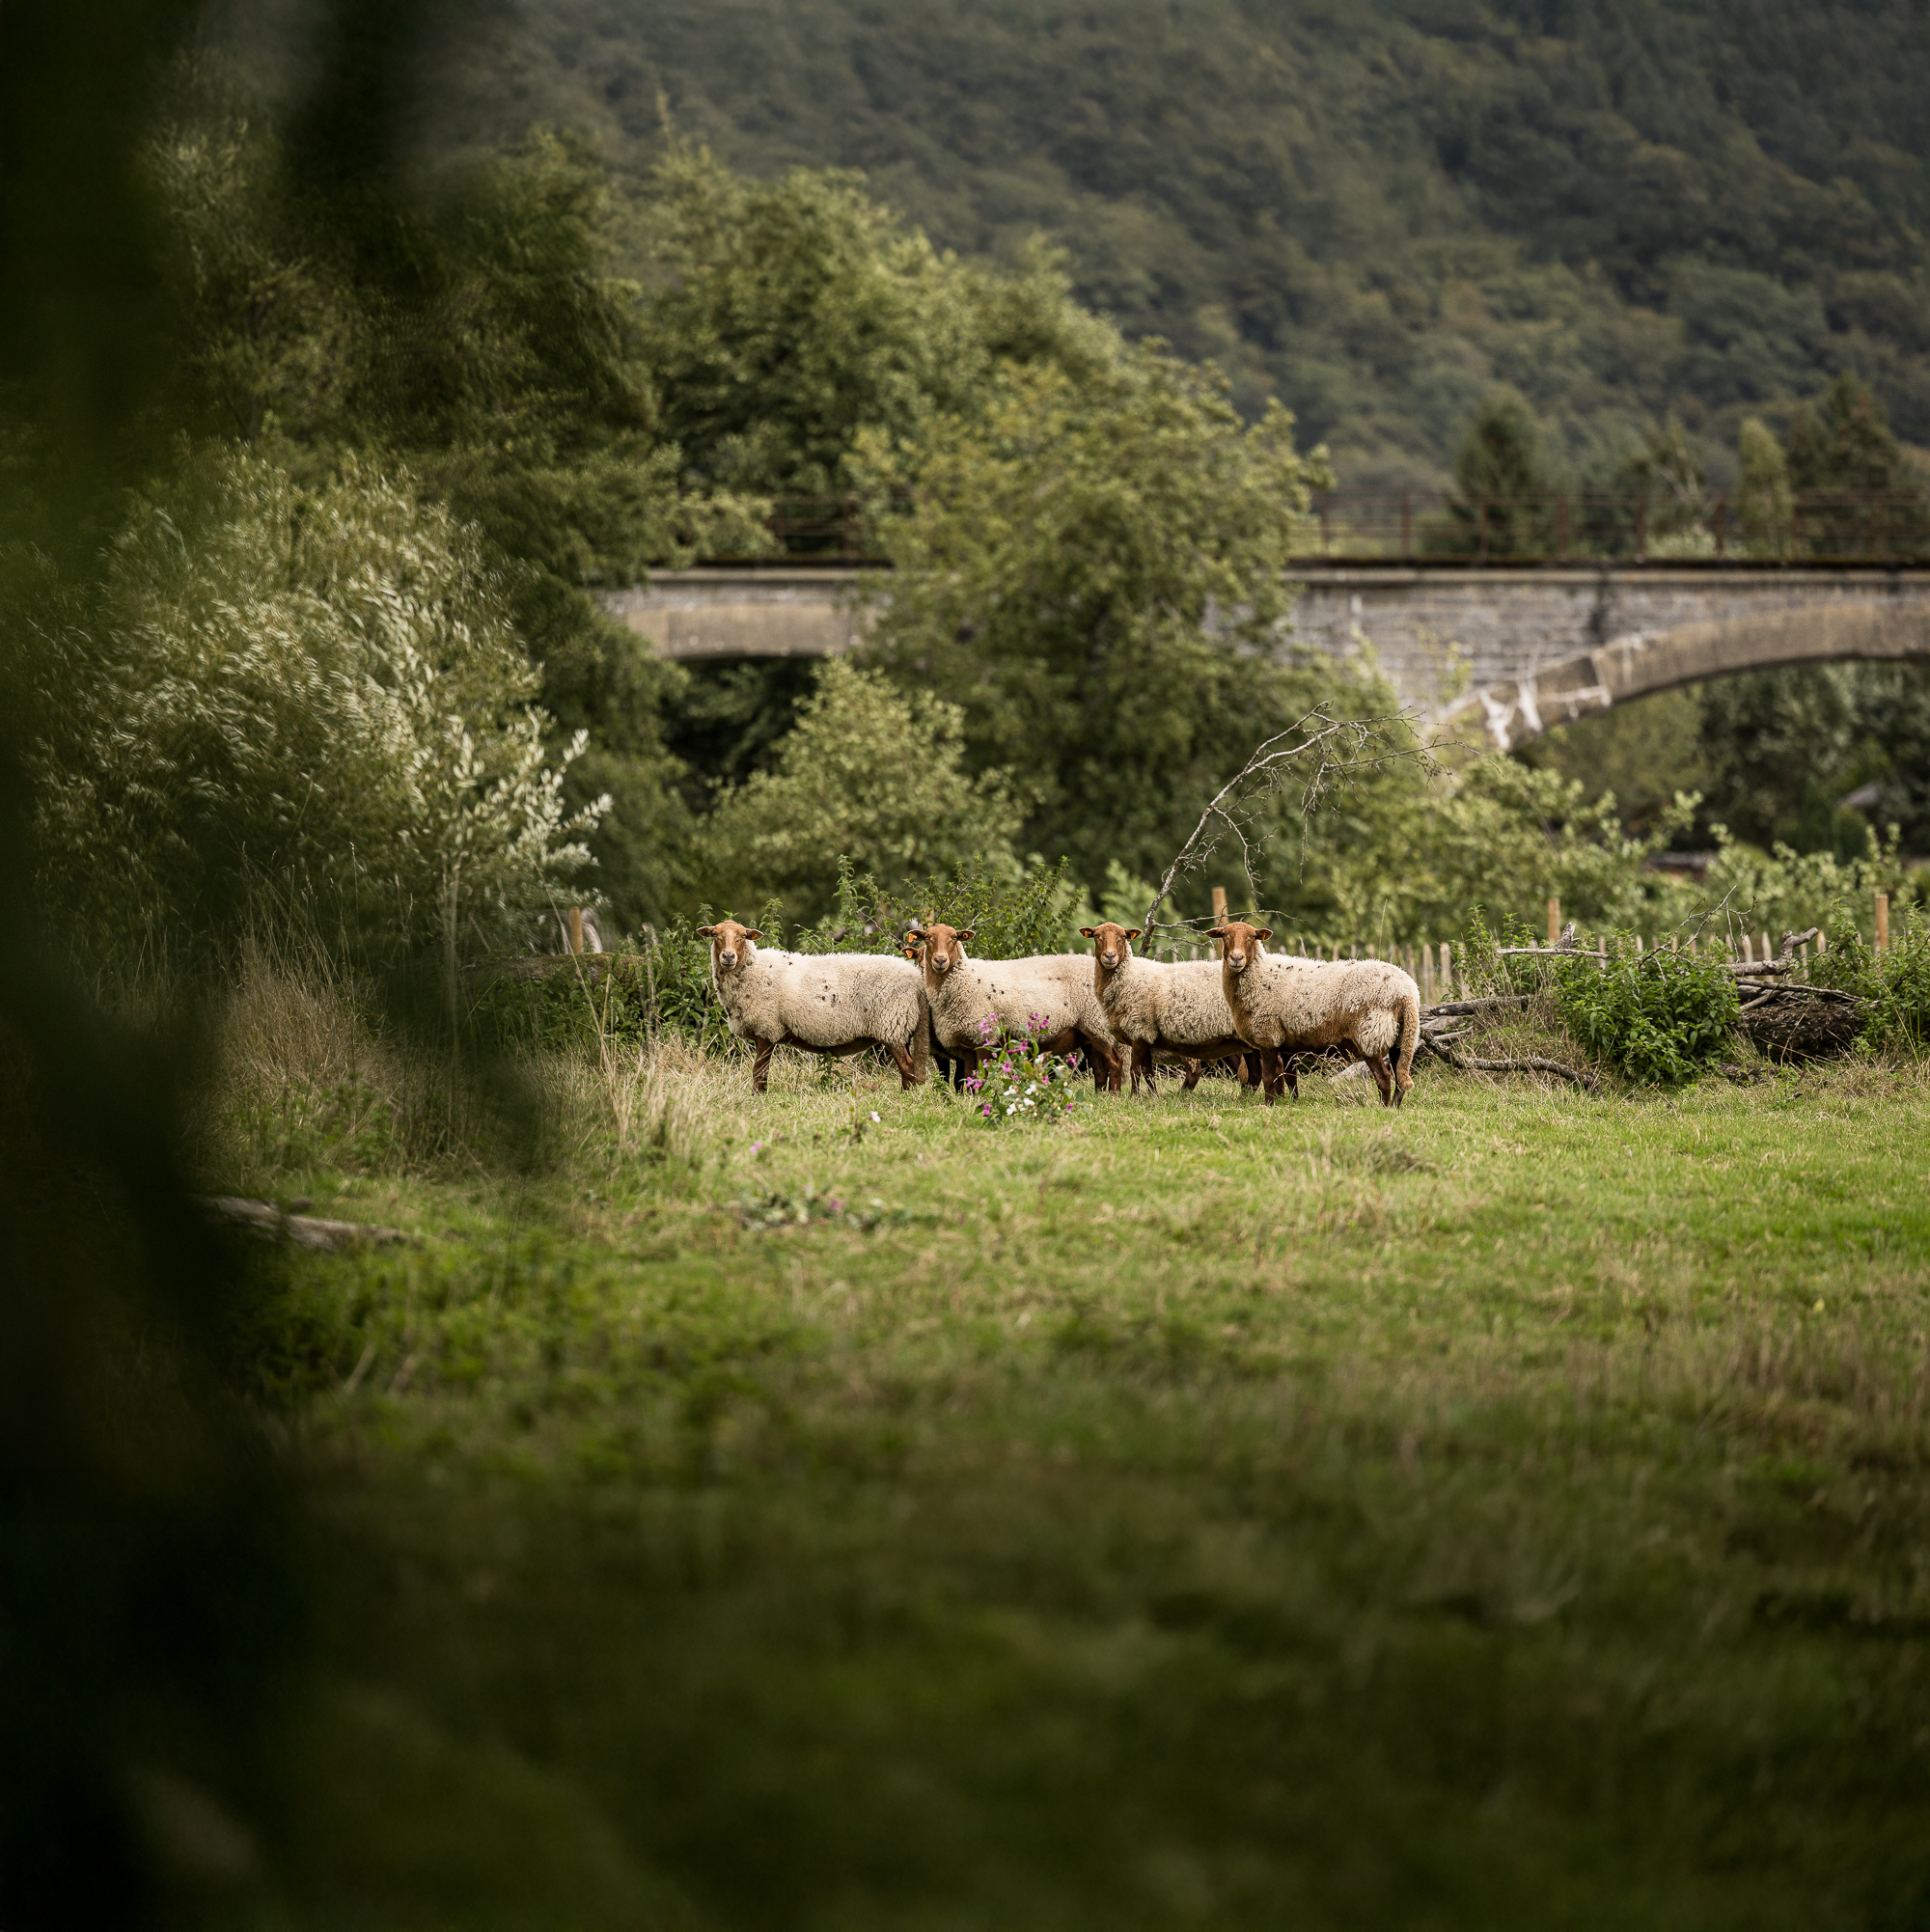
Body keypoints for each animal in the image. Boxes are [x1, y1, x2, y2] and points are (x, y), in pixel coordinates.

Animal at [698, 918, 930, 1093]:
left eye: (743, 936)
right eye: (715, 935)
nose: (728, 956)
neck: (754, 970)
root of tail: (915, 978)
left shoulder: (767, 1028)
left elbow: (759, 1071)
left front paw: (757, 1097)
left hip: (892, 1024)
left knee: (908, 1067)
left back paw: (907, 1096)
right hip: (899, 1026)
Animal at [906, 923, 1123, 1091]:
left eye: (953, 938)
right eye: (927, 938)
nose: (940, 960)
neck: (965, 977)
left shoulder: (986, 1038)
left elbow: (980, 1078)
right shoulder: (967, 1043)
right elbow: (968, 1079)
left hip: (1098, 1026)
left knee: (1115, 1063)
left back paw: (1113, 1096)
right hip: (1087, 1033)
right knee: (1100, 1070)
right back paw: (1099, 1096)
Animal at [1079, 922, 1253, 1095]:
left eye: (1122, 937)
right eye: (1097, 936)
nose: (1110, 956)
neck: (1129, 975)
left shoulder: (1139, 1029)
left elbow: (1135, 1069)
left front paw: (1134, 1096)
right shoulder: (1146, 1035)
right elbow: (1148, 1071)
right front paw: (1153, 1096)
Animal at [1208, 920, 1421, 1107]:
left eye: (1252, 937)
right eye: (1224, 935)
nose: (1236, 959)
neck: (1260, 973)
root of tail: (1407, 992)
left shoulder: (1268, 1036)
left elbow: (1269, 1078)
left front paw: (1268, 1105)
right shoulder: (1286, 1044)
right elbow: (1289, 1078)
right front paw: (1291, 1103)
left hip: (1371, 1034)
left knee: (1384, 1078)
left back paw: (1383, 1108)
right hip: (1400, 1037)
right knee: (1400, 1078)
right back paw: (1394, 1107)